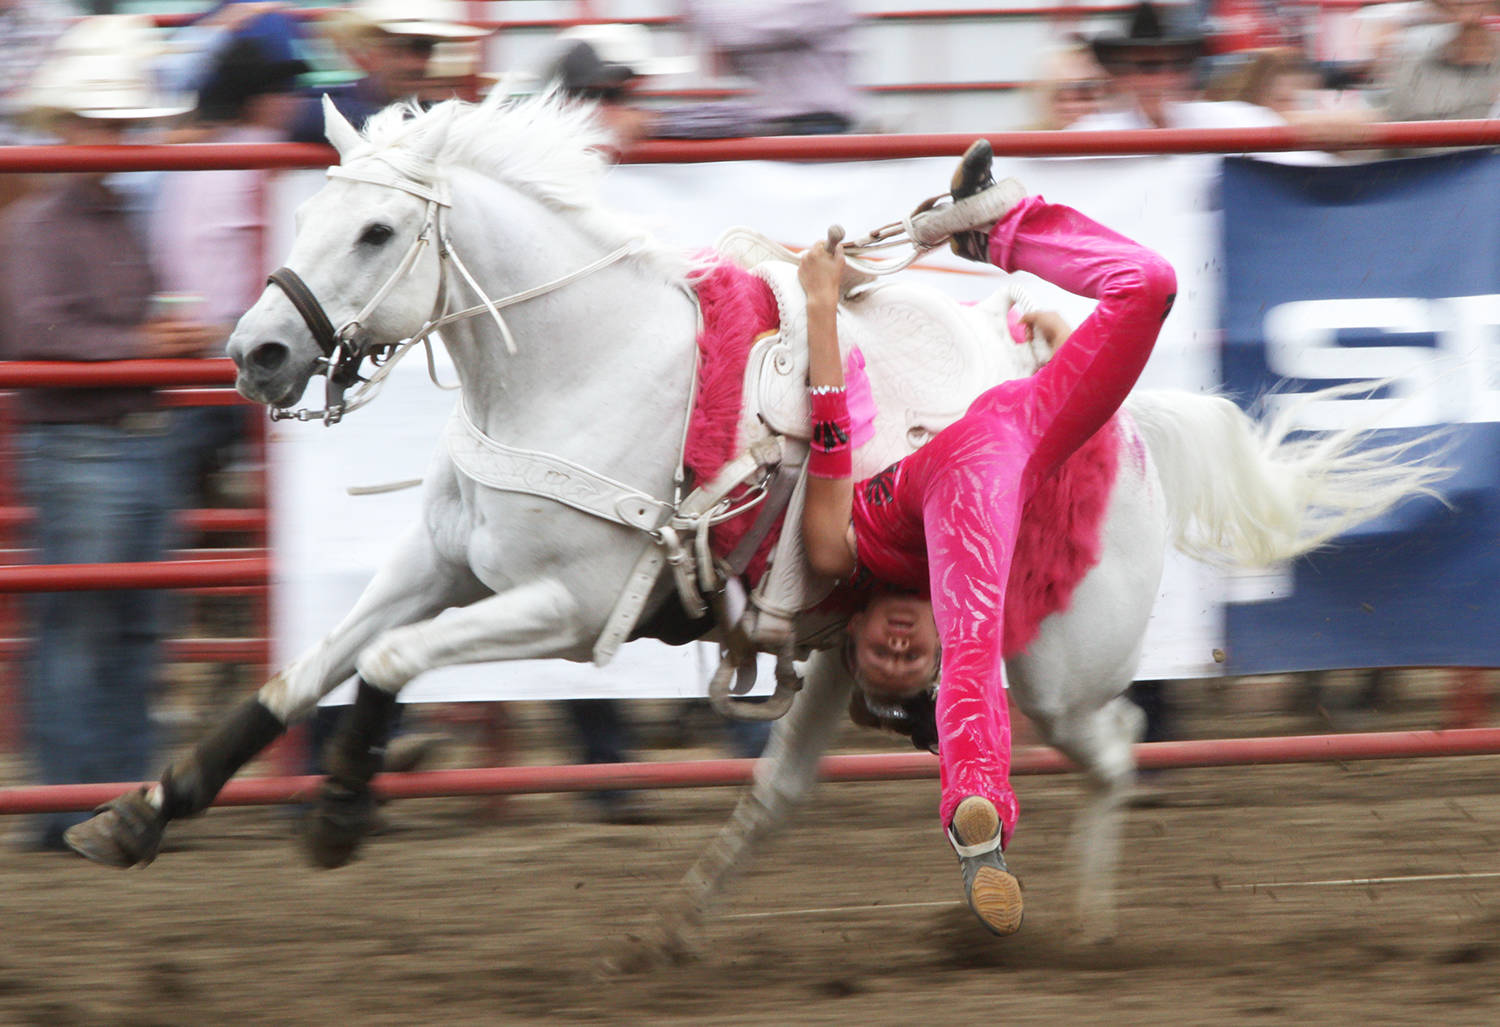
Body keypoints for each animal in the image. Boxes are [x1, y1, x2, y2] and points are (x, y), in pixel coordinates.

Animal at [67, 92, 1440, 947]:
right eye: (301, 213)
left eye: (374, 228)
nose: (255, 352)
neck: (587, 366)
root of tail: (1127, 432)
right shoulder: (439, 557)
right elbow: (303, 671)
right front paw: (139, 813)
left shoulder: (574, 611)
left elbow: (391, 665)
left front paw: (340, 814)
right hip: (849, 654)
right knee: (792, 786)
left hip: (1048, 663)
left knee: (1113, 747)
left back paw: (1088, 926)